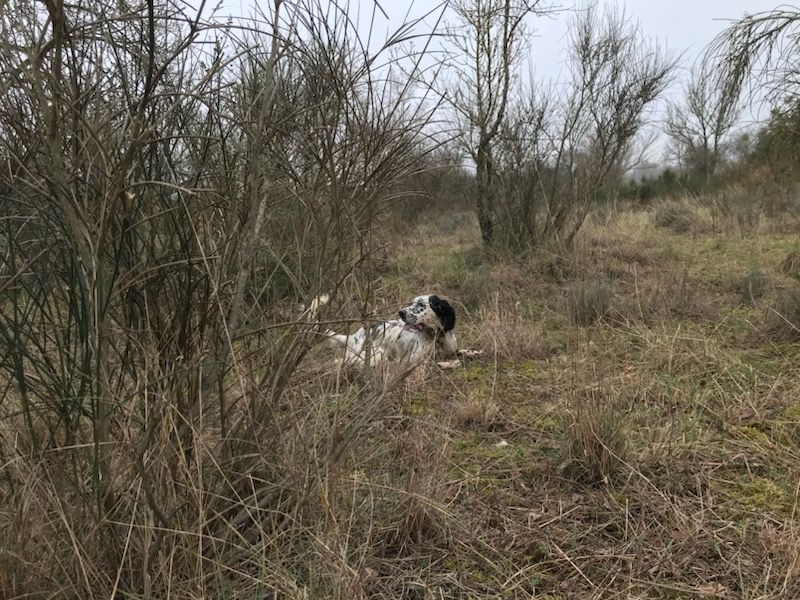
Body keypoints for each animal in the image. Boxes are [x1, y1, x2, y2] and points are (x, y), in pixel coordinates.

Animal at [314, 294, 460, 368]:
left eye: (420, 304)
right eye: (411, 303)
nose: (401, 312)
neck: (437, 336)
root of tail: (355, 336)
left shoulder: (453, 349)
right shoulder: (413, 360)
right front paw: (449, 363)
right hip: (375, 355)